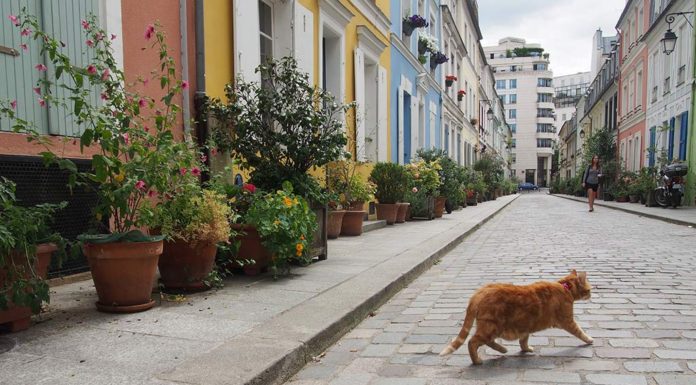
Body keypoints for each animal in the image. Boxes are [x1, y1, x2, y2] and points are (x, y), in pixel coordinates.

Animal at [440, 268, 592, 364]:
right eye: (589, 290)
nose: (591, 295)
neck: (565, 287)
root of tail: (479, 292)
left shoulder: (526, 326)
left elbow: (523, 341)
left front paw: (526, 349)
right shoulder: (568, 321)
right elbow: (580, 332)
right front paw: (589, 340)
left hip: (492, 328)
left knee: (487, 341)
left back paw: (502, 349)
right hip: (491, 327)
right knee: (472, 342)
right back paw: (477, 360)